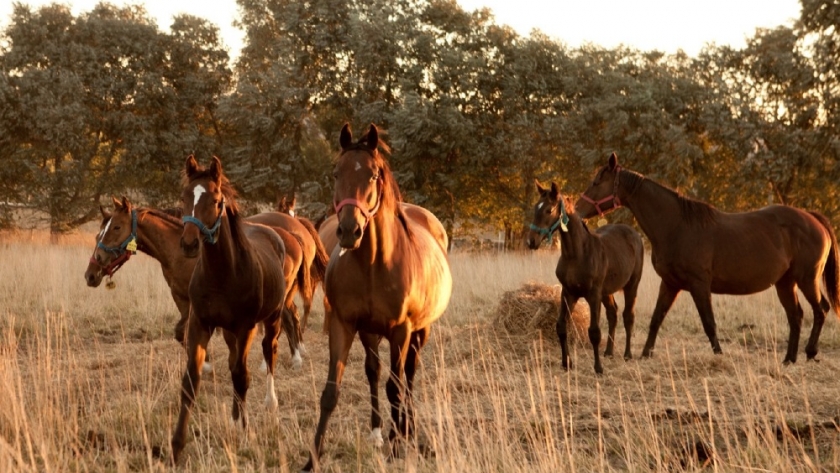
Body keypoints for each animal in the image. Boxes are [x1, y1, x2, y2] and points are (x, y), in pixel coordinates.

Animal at [83, 196, 308, 368]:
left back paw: (285, 360)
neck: (181, 252)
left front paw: (205, 364)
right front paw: (205, 361)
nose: (91, 273)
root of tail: (288, 237)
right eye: (99, 233)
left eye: (117, 227)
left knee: (286, 320)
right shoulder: (181, 298)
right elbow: (181, 333)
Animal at [169, 155, 290, 460]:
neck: (222, 274)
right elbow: (191, 381)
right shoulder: (200, 323)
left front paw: (246, 434)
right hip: (228, 332)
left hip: (271, 320)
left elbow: (241, 377)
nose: (189, 244)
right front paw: (177, 445)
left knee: (269, 353)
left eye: (215, 199)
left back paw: (270, 405)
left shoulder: (245, 327)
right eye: (184, 196)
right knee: (234, 359)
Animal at [302, 123, 452, 470]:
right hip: (370, 332)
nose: (349, 231)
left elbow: (395, 388)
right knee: (375, 372)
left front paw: (398, 448)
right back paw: (380, 433)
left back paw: (407, 431)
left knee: (407, 376)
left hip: (419, 332)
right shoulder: (344, 325)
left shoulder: (400, 331)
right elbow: (331, 392)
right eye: (336, 172)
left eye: (372, 175)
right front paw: (312, 458)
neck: (373, 264)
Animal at [532, 180, 644, 372]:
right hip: (607, 291)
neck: (577, 254)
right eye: (535, 208)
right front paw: (566, 363)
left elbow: (594, 332)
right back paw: (609, 352)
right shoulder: (568, 293)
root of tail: (634, 234)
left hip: (632, 285)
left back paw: (627, 355)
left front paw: (598, 368)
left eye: (549, 210)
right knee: (613, 314)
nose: (531, 241)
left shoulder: (593, 295)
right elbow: (561, 327)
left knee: (628, 316)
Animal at [576, 152, 840, 362]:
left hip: (807, 279)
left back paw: (810, 352)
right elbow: (656, 319)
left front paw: (719, 354)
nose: (577, 210)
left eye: (597, 182)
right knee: (796, 316)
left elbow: (709, 323)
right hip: (785, 283)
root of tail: (813, 218)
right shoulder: (670, 284)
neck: (677, 226)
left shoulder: (699, 284)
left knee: (821, 310)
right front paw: (644, 354)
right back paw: (789, 359)